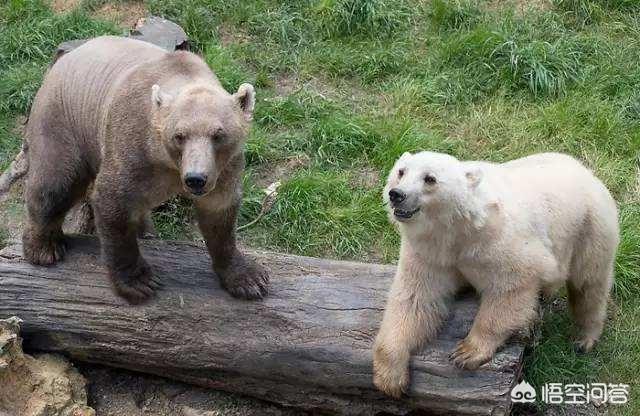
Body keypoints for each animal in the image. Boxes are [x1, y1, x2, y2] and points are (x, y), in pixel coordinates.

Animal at [21, 35, 268, 302]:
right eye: (179, 135)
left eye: (218, 135)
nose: (195, 179)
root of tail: (65, 59)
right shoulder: (133, 145)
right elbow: (114, 202)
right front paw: (140, 282)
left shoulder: (224, 167)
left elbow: (219, 212)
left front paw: (250, 278)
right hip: (64, 119)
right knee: (56, 182)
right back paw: (43, 248)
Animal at [372, 151, 616, 398]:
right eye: (401, 171)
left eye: (430, 178)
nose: (397, 194)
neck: (458, 229)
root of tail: (584, 170)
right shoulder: (430, 254)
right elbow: (415, 300)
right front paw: (391, 378)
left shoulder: (498, 242)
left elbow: (511, 288)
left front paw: (466, 352)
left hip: (589, 227)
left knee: (589, 284)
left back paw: (584, 338)